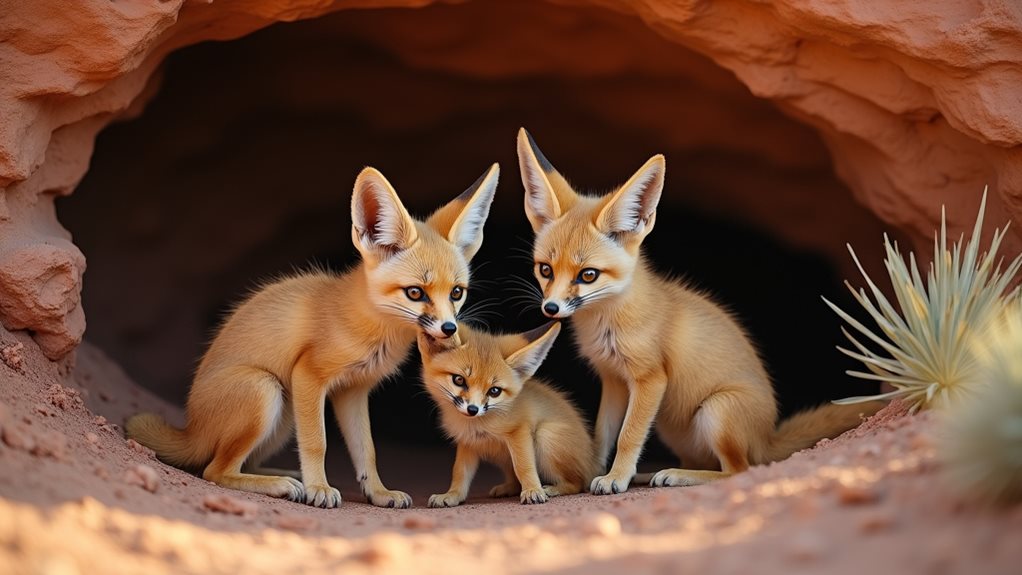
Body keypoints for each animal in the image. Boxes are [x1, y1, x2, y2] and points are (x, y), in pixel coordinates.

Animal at [126, 163, 500, 508]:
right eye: (415, 293)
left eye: (456, 293)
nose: (449, 328)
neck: (367, 326)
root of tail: (190, 427)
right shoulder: (309, 375)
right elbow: (317, 442)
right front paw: (319, 488)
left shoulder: (353, 391)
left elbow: (367, 450)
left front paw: (378, 493)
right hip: (266, 390)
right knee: (214, 471)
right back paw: (282, 485)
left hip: (283, 414)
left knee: (235, 464)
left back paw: (284, 477)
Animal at [419, 322, 600, 506]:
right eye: (459, 380)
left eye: (494, 391)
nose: (473, 410)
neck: (477, 425)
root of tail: (593, 461)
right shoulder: (468, 442)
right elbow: (459, 473)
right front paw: (452, 495)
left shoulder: (518, 431)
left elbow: (524, 467)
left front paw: (533, 490)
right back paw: (509, 488)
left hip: (546, 435)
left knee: (577, 484)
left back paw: (552, 488)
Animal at [516, 128, 884, 495]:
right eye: (546, 270)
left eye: (588, 275)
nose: (551, 308)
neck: (607, 322)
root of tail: (767, 437)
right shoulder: (614, 380)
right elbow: (603, 436)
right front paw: (591, 471)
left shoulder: (649, 378)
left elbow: (628, 436)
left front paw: (615, 478)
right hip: (673, 426)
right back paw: (656, 473)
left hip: (715, 411)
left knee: (738, 469)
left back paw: (677, 476)